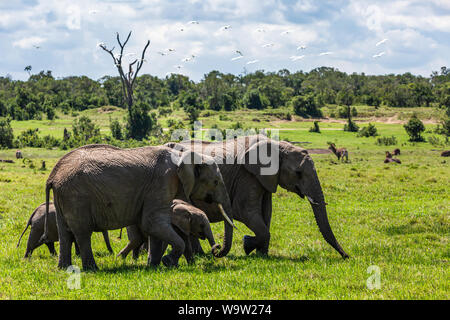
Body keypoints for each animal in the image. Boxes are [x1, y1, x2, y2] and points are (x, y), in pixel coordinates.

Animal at [41, 144, 236, 270]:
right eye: (215, 182)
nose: (216, 249)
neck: (186, 154)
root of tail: (53, 175)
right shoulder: (163, 181)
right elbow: (152, 223)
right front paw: (167, 262)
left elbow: (154, 227)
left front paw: (154, 266)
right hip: (76, 196)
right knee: (82, 232)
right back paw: (92, 269)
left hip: (63, 196)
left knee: (65, 233)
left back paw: (63, 268)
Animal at [167, 134, 350, 258]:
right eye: (298, 173)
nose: (347, 256)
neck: (277, 146)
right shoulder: (247, 176)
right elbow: (245, 211)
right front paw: (248, 244)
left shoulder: (265, 179)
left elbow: (266, 212)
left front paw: (261, 254)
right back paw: (200, 255)